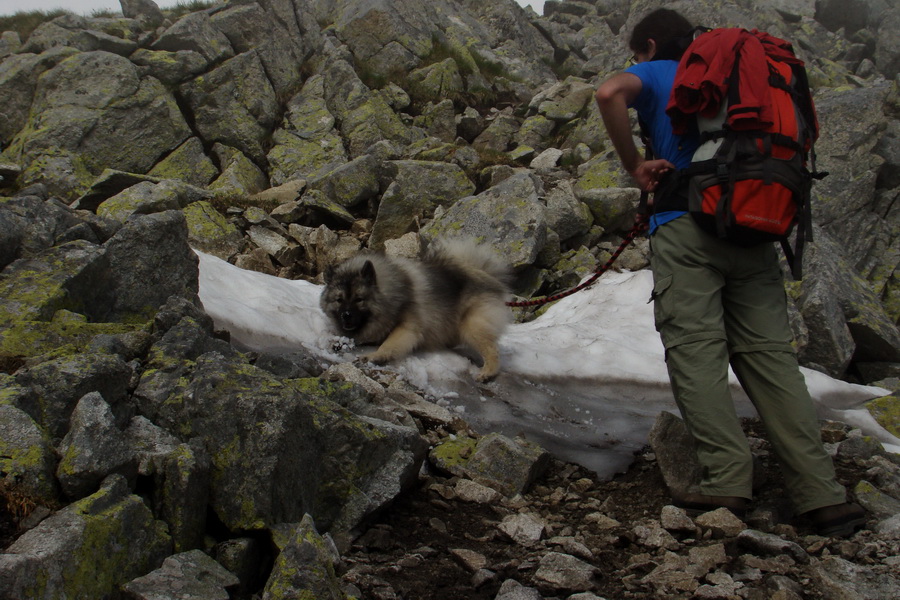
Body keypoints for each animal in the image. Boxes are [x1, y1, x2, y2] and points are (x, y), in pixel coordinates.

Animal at [320, 238, 512, 380]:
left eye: (359, 299)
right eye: (339, 300)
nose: (346, 315)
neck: (392, 293)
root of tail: (487, 275)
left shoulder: (407, 327)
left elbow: (389, 343)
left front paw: (375, 356)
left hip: (471, 325)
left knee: (492, 350)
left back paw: (488, 372)